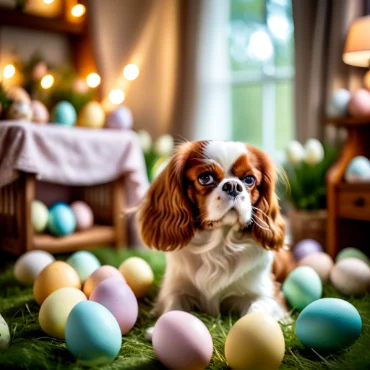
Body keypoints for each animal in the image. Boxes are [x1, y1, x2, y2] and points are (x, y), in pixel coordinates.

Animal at [137, 140, 294, 320]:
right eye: (205, 178)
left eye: (249, 180)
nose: (233, 185)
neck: (221, 242)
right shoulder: (174, 290)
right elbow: (172, 307)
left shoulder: (271, 297)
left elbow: (257, 311)